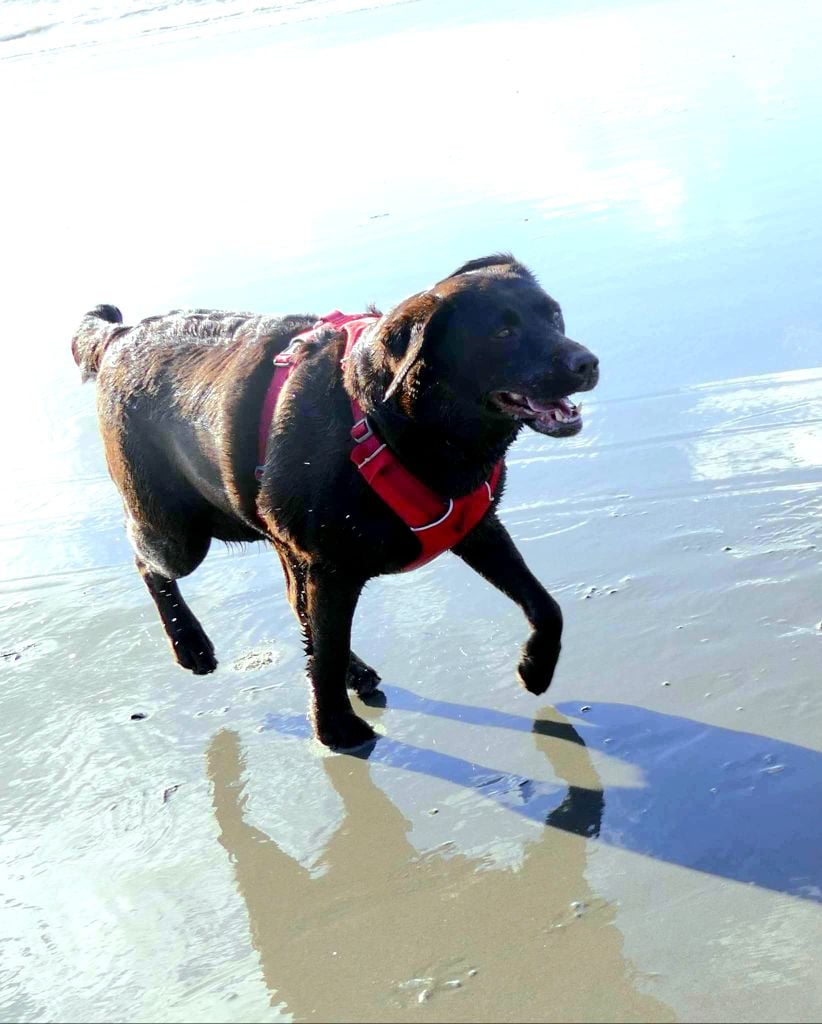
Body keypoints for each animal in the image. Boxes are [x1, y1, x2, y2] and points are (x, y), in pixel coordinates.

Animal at [71, 254, 599, 749]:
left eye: (554, 316)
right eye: (503, 332)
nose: (587, 362)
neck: (391, 423)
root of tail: (119, 336)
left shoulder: (475, 526)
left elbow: (546, 606)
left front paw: (536, 668)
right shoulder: (330, 567)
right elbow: (324, 651)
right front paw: (336, 731)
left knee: (295, 604)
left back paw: (355, 671)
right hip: (178, 534)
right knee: (148, 563)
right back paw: (191, 645)